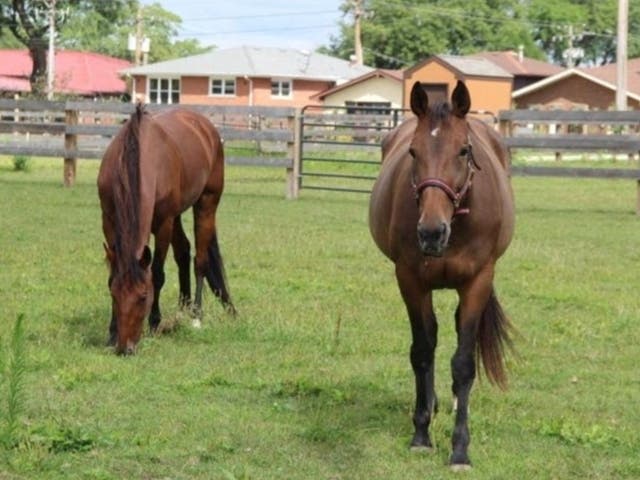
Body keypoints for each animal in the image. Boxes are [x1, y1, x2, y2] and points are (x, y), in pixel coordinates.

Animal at [98, 104, 235, 355]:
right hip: (178, 215)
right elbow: (114, 272)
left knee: (200, 260)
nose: (126, 348)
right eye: (114, 294)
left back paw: (196, 316)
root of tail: (206, 127)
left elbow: (158, 274)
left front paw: (154, 323)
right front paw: (111, 333)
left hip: (205, 204)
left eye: (143, 296)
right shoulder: (109, 221)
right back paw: (183, 307)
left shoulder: (163, 223)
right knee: (183, 251)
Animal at [369, 80, 515, 469]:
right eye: (413, 152)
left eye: (463, 151)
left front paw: (460, 449)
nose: (432, 233)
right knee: (431, 340)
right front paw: (421, 434)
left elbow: (463, 363)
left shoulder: (478, 282)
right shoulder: (410, 280)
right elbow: (422, 350)